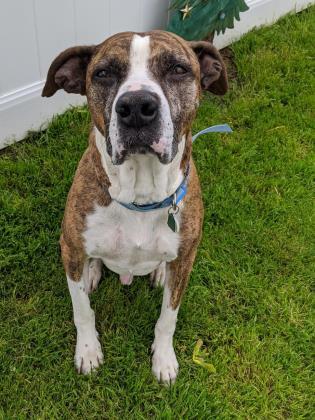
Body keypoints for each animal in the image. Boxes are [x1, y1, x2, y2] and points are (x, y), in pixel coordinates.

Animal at [43, 29, 228, 384]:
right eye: (103, 73)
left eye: (178, 69)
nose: (137, 107)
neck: (140, 196)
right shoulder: (70, 247)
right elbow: (82, 309)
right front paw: (88, 350)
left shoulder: (186, 258)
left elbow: (168, 317)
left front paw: (164, 359)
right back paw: (92, 272)